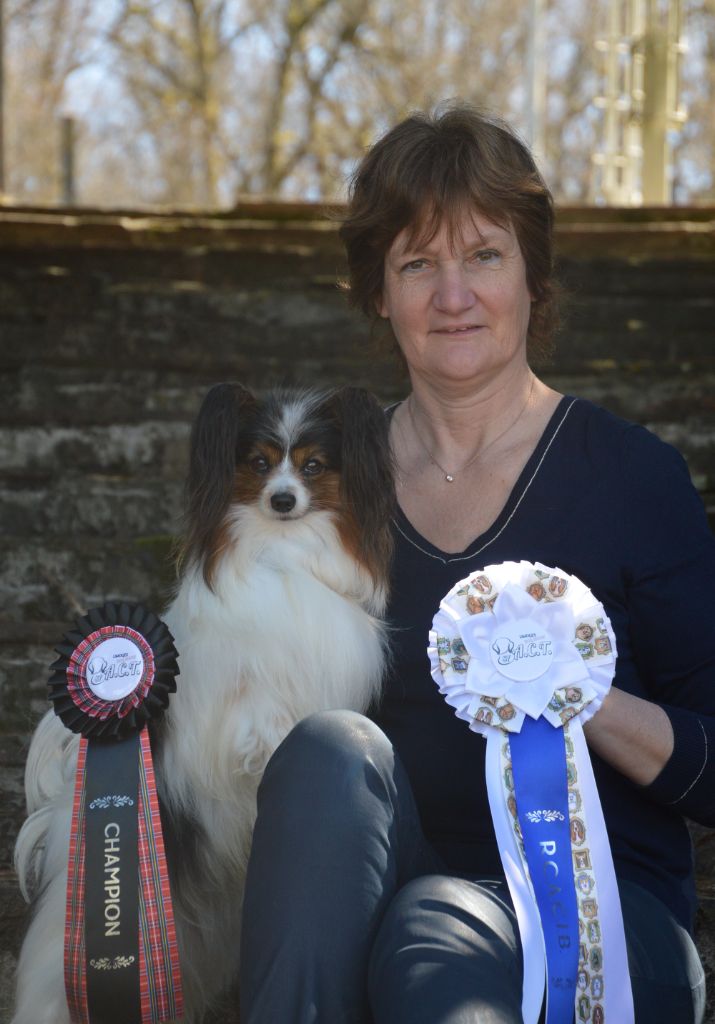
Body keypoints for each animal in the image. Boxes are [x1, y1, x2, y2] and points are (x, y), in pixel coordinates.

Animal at [11, 380, 393, 1019]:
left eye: (313, 467)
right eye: (259, 463)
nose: (282, 500)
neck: (281, 552)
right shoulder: (223, 699)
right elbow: (255, 718)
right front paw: (268, 745)